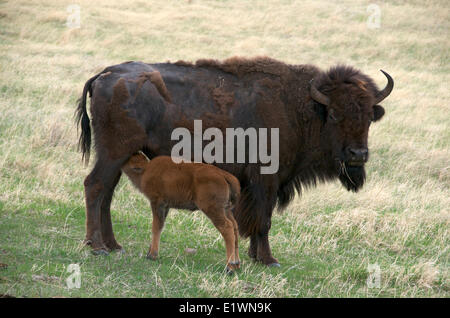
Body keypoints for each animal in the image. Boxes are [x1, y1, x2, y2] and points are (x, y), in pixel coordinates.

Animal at [75, 56, 392, 266]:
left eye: (368, 116)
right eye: (335, 114)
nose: (358, 154)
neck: (301, 107)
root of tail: (106, 75)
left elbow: (254, 219)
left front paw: (254, 256)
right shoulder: (266, 180)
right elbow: (263, 220)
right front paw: (268, 259)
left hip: (120, 156)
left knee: (106, 193)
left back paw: (114, 245)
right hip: (113, 153)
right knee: (95, 186)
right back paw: (97, 246)